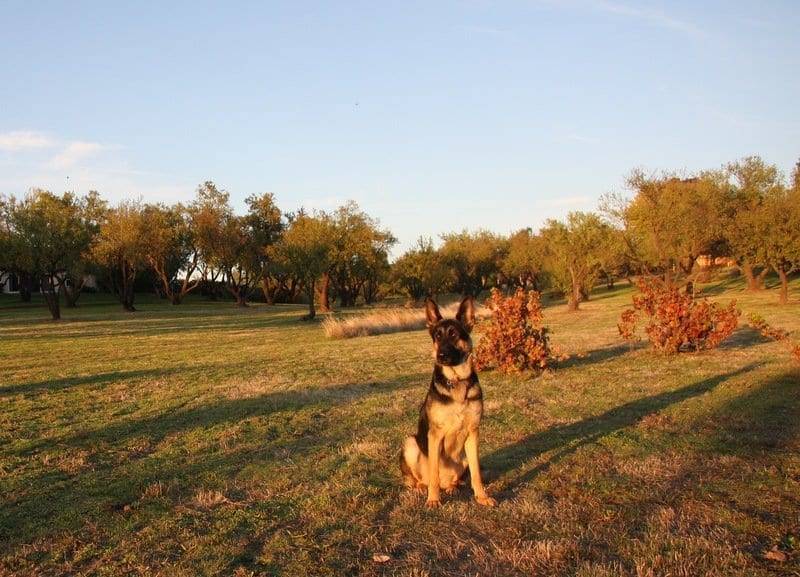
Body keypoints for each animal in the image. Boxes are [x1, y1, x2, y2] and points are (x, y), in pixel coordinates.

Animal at [398, 294, 494, 506]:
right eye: (438, 336)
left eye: (454, 335)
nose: (441, 355)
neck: (455, 381)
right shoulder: (435, 435)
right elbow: (434, 472)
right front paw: (433, 500)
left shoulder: (473, 434)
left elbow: (476, 473)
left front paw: (481, 497)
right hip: (411, 443)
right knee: (419, 479)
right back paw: (423, 488)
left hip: (463, 457)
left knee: (457, 478)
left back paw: (451, 487)